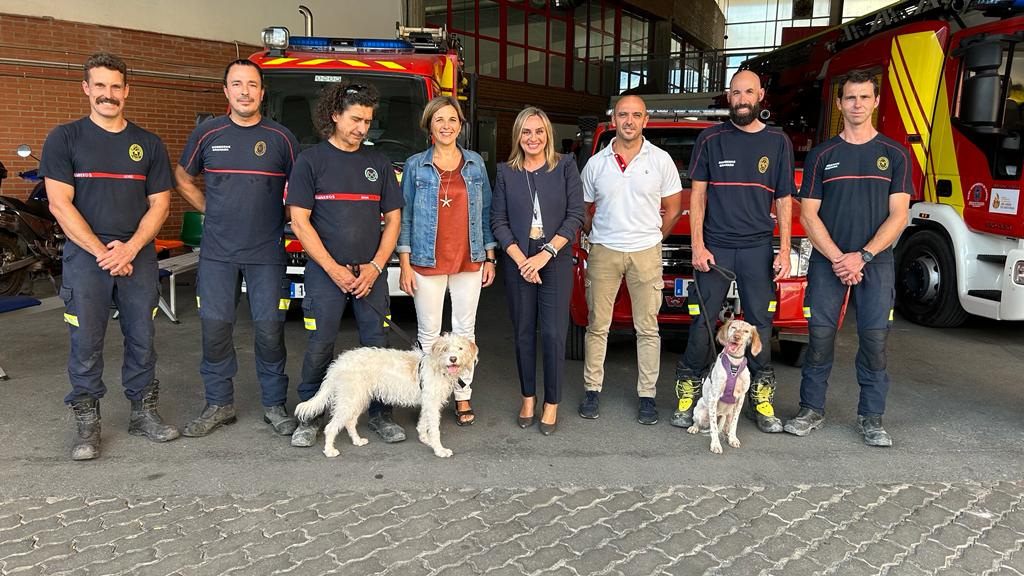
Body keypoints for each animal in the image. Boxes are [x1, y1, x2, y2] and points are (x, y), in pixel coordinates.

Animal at [292, 332, 475, 457]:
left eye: (460, 348)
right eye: (445, 349)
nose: (453, 358)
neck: (437, 365)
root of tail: (338, 364)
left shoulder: (429, 403)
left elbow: (423, 423)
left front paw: (425, 439)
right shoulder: (432, 404)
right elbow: (435, 429)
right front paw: (439, 450)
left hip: (359, 399)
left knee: (350, 422)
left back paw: (357, 441)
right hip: (349, 400)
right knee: (331, 427)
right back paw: (329, 450)